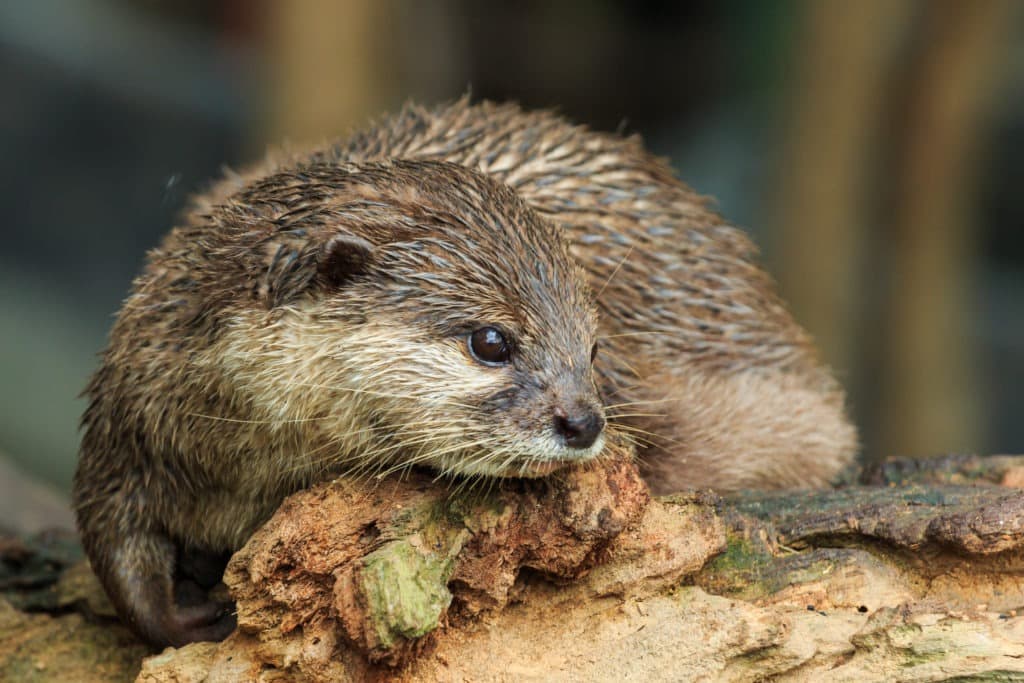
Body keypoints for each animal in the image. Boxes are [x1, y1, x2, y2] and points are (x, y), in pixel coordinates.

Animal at [72, 98, 856, 651]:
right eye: (491, 341)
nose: (583, 421)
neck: (247, 458)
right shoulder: (134, 400)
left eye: (594, 346)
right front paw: (180, 614)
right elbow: (112, 539)